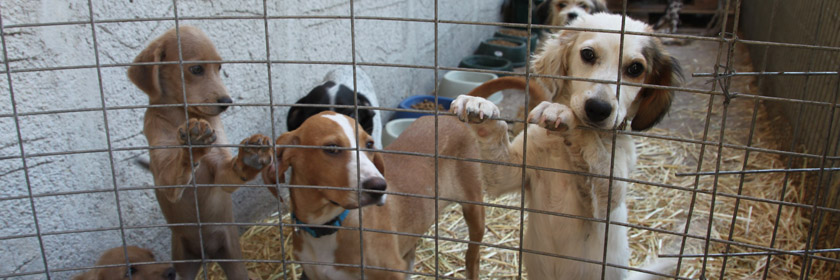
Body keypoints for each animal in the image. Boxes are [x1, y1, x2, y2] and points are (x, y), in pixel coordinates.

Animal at [128, 25, 272, 278]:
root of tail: (208, 255)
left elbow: (232, 169)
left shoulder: (221, 172)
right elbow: (176, 168)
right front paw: (192, 145)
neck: (183, 115)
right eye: (196, 69)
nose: (227, 102)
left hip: (232, 258)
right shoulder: (165, 179)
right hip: (183, 263)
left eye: (219, 67)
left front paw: (250, 157)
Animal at [262, 112, 486, 280]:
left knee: (472, 258)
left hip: (474, 210)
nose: (379, 186)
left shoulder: (392, 271)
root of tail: (448, 116)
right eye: (332, 148)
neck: (327, 225)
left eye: (369, 145)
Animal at [452, 13, 684, 280]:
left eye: (636, 68)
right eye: (588, 54)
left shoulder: (606, 204)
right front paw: (479, 105)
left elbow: (598, 156)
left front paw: (564, 114)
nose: (598, 109)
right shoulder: (510, 172)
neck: (561, 149)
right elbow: (495, 135)